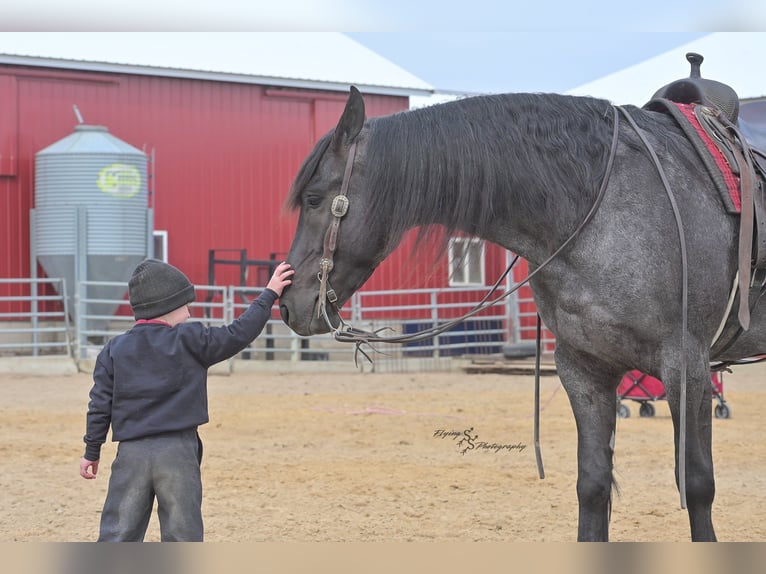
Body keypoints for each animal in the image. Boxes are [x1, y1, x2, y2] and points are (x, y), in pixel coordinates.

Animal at [278, 85, 766, 541]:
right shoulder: (583, 369)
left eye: (315, 198)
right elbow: (593, 485)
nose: (286, 303)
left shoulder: (687, 368)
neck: (606, 204)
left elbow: (697, 485)